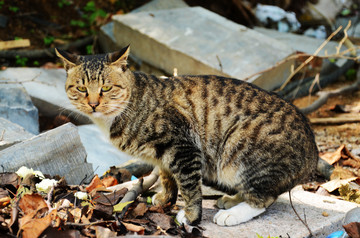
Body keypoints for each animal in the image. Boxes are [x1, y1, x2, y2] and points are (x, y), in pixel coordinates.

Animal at [55, 45, 318, 226]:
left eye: (106, 88)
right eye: (81, 88)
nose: (93, 104)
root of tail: (313, 150)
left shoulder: (183, 146)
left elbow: (190, 186)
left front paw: (191, 216)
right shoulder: (163, 155)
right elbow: (167, 177)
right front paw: (165, 199)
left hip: (241, 150)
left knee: (263, 198)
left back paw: (233, 214)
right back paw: (232, 200)